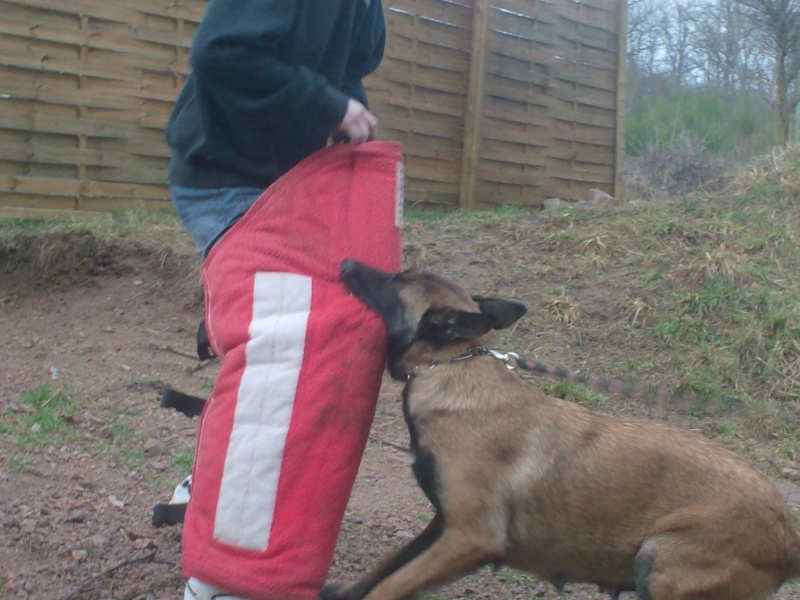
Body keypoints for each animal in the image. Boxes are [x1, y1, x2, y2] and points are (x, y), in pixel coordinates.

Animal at [322, 258, 800, 600]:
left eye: (396, 280)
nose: (345, 261)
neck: (452, 368)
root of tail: (788, 537)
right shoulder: (443, 524)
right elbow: (386, 566)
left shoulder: (469, 538)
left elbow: (389, 586)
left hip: (659, 557)